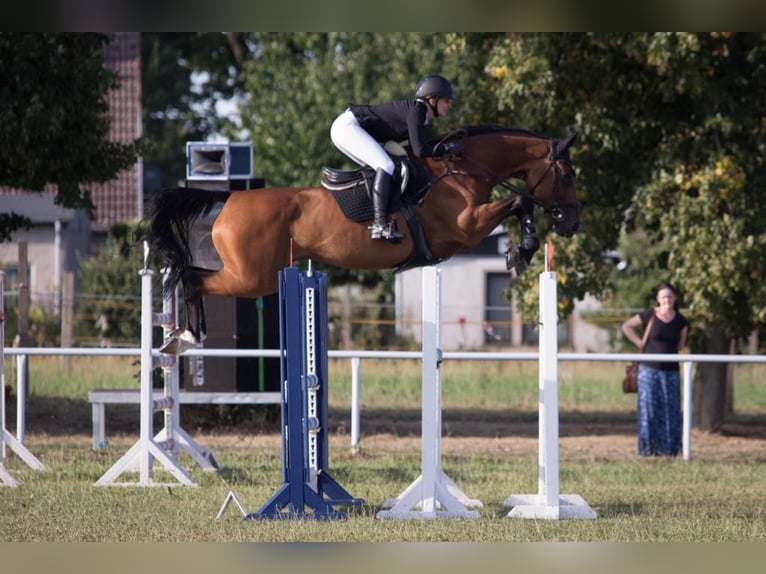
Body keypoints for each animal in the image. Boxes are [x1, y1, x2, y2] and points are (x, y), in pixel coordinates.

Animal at [144, 125, 580, 353]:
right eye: (568, 173)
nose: (571, 224)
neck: (462, 170)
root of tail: (229, 198)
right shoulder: (466, 225)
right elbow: (520, 200)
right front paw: (523, 249)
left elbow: (519, 202)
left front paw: (523, 248)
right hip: (252, 276)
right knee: (193, 276)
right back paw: (188, 335)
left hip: (255, 273)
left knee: (191, 274)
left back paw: (180, 338)